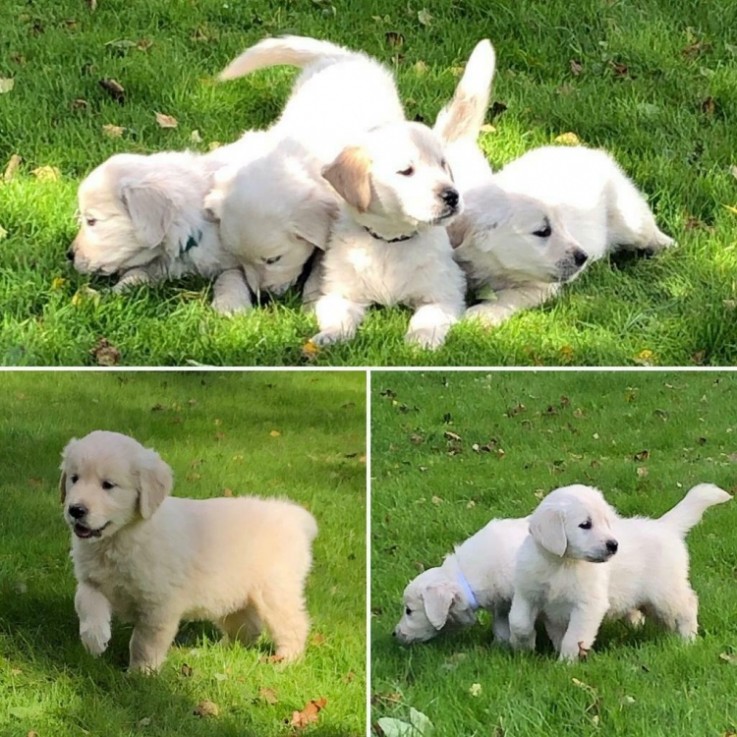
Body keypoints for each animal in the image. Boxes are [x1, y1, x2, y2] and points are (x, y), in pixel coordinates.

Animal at [60, 426, 316, 672]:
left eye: (108, 485)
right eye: (74, 478)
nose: (75, 510)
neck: (119, 538)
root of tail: (294, 516)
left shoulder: (159, 605)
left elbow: (144, 642)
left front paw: (140, 674)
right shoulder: (91, 581)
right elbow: (87, 605)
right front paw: (95, 641)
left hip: (275, 591)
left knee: (293, 625)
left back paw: (285, 660)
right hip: (234, 593)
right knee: (247, 627)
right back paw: (214, 651)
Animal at [446, 147, 676, 324]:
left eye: (561, 225)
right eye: (543, 231)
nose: (583, 258)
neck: (495, 267)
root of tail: (594, 153)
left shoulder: (540, 287)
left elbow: (508, 296)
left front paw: (483, 314)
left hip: (629, 217)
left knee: (648, 230)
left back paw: (667, 249)